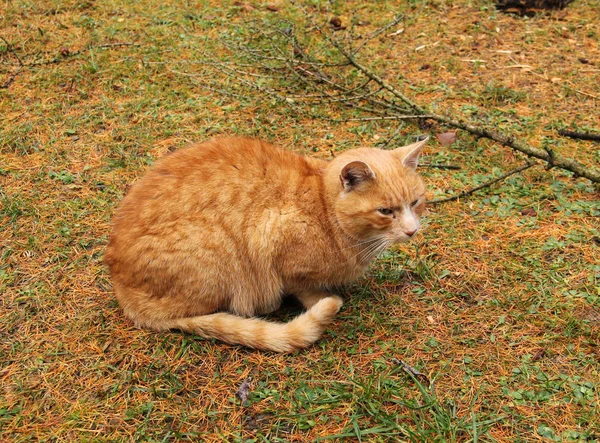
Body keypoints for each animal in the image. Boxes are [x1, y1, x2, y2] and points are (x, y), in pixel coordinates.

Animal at [105, 137, 428, 352]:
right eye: (385, 211)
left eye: (415, 202)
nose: (412, 231)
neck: (324, 209)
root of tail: (119, 283)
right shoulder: (273, 236)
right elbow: (303, 288)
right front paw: (323, 299)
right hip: (218, 247)